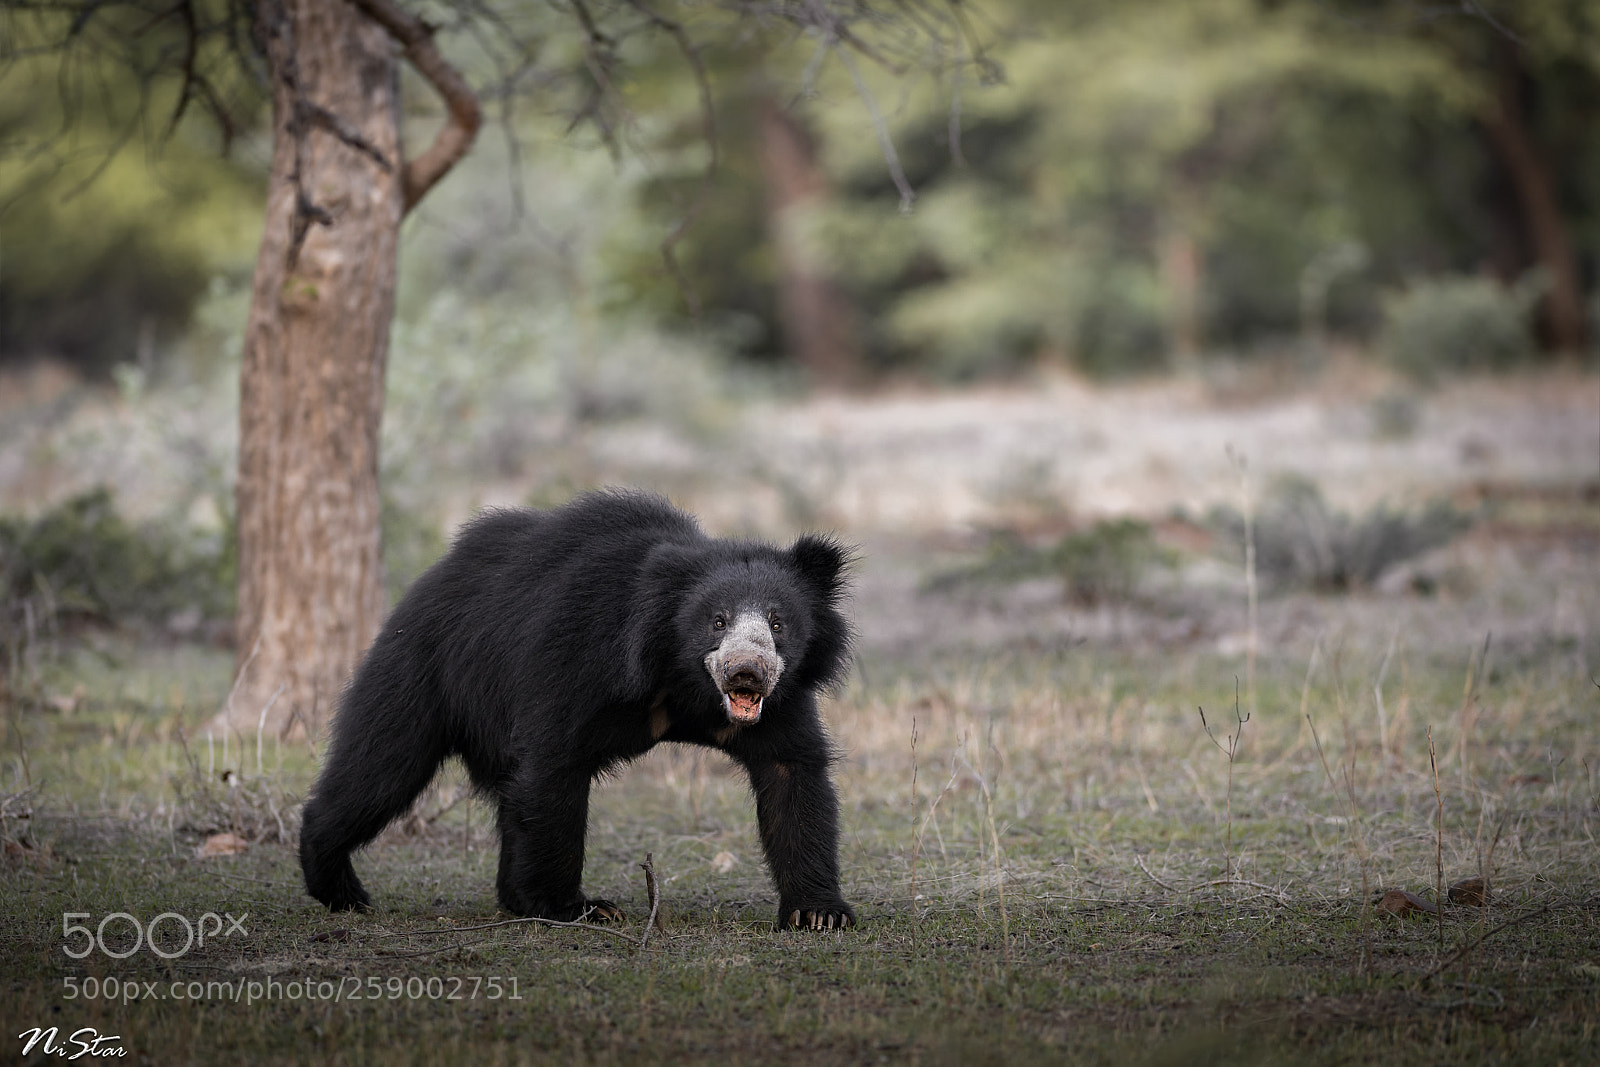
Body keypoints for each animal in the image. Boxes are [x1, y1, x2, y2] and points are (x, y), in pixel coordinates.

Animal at [298, 489, 856, 931]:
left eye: (778, 623)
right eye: (717, 621)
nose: (747, 672)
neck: (681, 683)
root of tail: (432, 575)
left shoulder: (784, 700)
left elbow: (793, 776)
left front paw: (818, 913)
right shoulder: (578, 660)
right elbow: (553, 767)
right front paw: (578, 907)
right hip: (425, 668)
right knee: (382, 766)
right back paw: (339, 886)